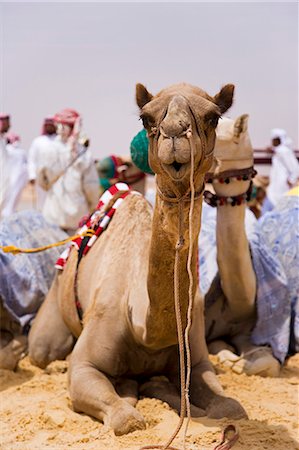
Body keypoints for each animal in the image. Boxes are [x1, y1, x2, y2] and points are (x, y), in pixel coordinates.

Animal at [29, 82, 247, 434]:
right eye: (146, 118)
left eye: (213, 117)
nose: (175, 133)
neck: (143, 325)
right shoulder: (83, 365)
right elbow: (126, 419)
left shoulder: (197, 359)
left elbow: (231, 407)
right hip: (51, 316)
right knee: (41, 349)